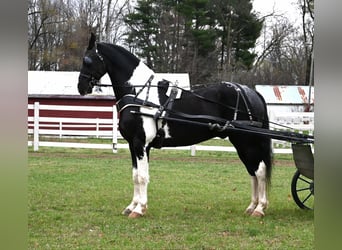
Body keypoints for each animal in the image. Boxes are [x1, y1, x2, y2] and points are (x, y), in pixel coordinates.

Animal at [77, 32, 272, 217]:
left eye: (87, 60)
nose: (81, 87)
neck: (139, 94)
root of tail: (250, 92)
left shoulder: (141, 143)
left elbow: (142, 177)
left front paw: (139, 209)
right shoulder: (134, 145)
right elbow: (135, 175)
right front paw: (132, 206)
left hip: (246, 141)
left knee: (260, 170)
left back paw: (260, 208)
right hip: (241, 143)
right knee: (252, 171)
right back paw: (252, 206)